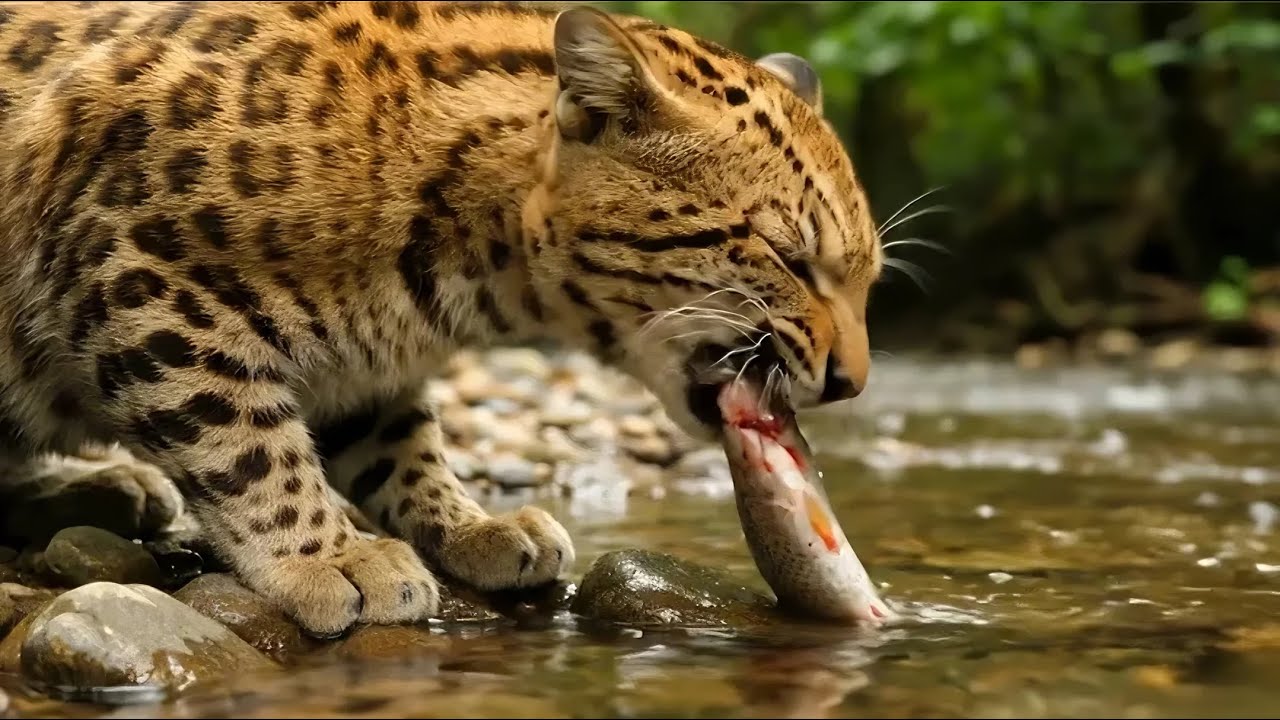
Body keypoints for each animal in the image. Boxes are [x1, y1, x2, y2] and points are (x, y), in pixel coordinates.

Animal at [0, 0, 883, 638]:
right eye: (788, 256)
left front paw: (471, 526)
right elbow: (242, 437)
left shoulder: (363, 363)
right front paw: (331, 557)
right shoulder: (140, 267)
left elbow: (399, 442)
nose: (853, 383)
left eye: (866, 275)